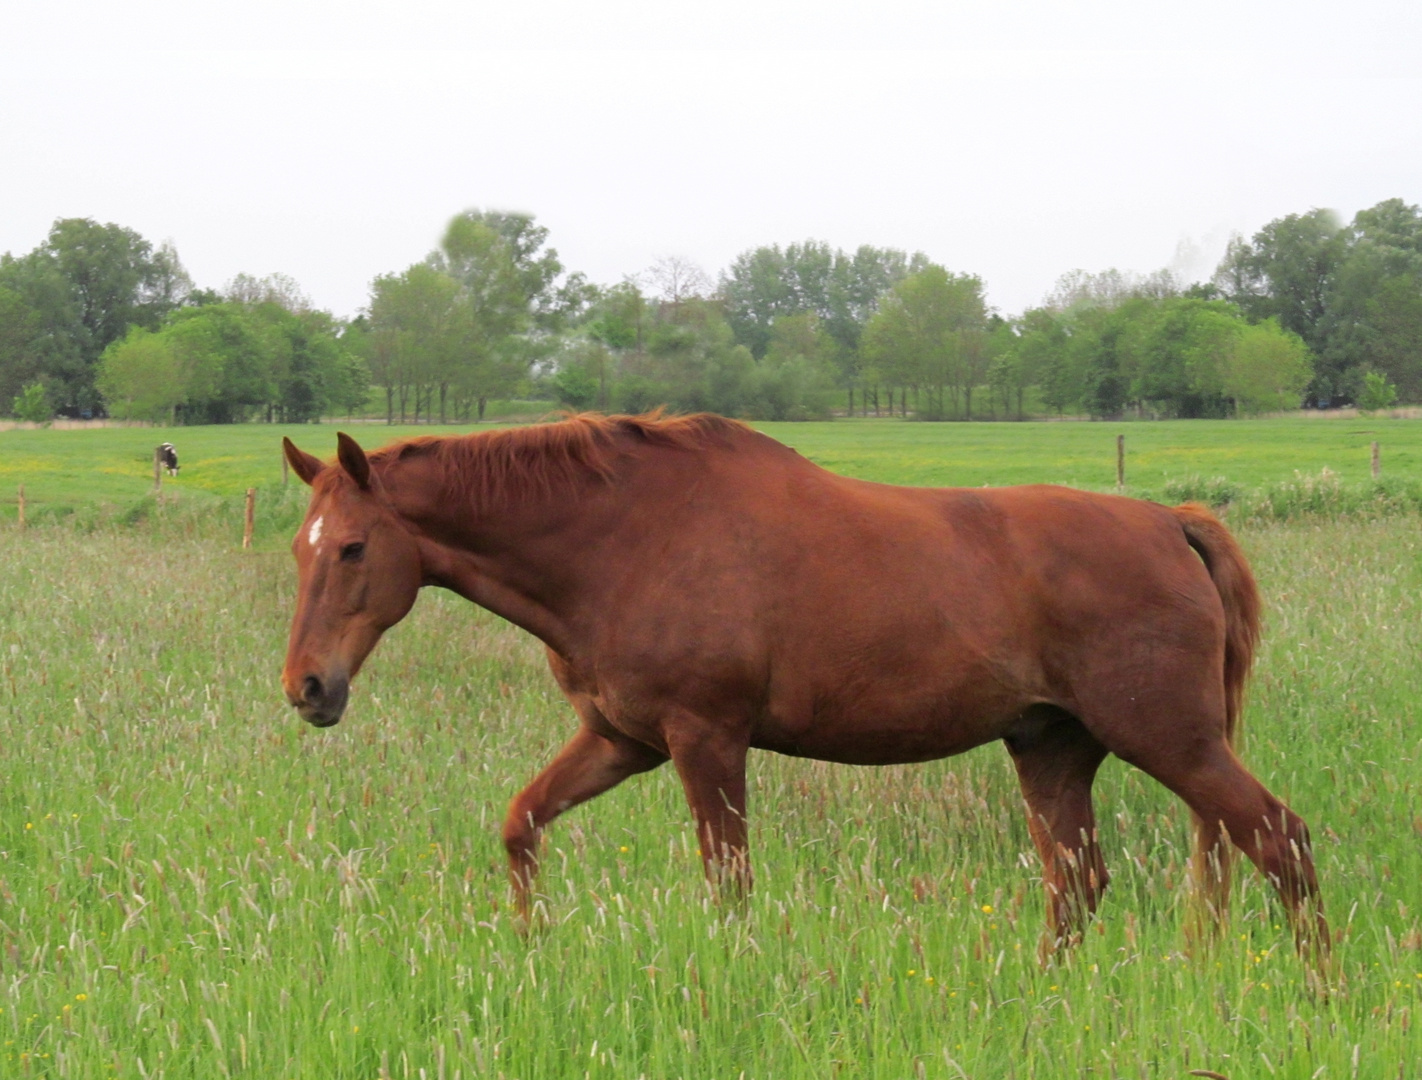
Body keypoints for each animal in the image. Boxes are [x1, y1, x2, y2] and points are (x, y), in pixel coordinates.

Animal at [282, 409, 1325, 950]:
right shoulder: (621, 743)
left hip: (1171, 741)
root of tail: (1169, 523)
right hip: (1051, 750)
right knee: (1078, 884)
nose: (307, 687)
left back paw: (1318, 993)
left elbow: (729, 884)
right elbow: (521, 825)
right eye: (301, 550)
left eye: (355, 548)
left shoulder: (706, 742)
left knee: (1281, 841)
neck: (626, 538)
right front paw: (533, 947)